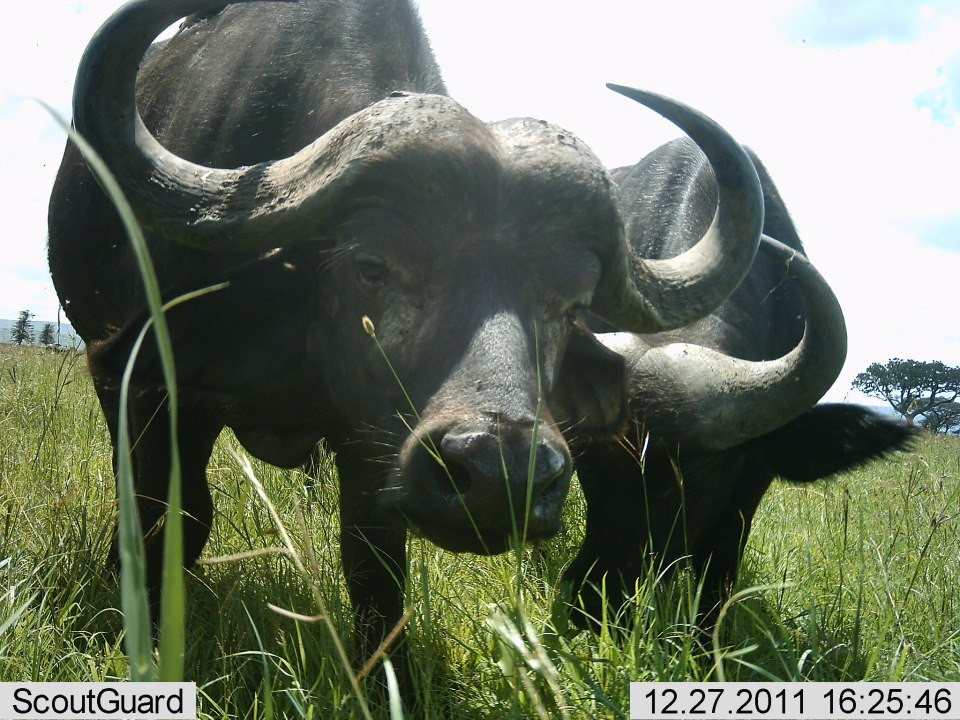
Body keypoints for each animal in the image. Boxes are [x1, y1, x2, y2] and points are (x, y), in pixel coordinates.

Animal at [47, 0, 916, 664]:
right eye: (372, 268)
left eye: (568, 304)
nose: (502, 475)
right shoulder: (145, 384)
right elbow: (171, 517)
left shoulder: (371, 442)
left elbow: (375, 568)